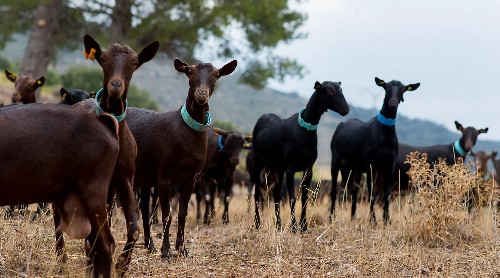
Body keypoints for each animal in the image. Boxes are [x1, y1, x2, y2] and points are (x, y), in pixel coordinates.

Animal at [66, 33, 158, 274]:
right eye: (103, 59)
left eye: (135, 63)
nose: (116, 85)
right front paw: (95, 262)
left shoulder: (125, 179)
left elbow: (133, 228)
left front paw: (121, 265)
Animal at [126, 58, 237, 258]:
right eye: (189, 72)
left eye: (217, 74)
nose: (201, 94)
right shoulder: (164, 177)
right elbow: (167, 215)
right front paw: (165, 251)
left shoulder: (190, 179)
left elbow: (182, 214)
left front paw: (182, 248)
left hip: (143, 176)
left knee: (144, 207)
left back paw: (149, 244)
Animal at [252, 81, 350, 232]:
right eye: (329, 91)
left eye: (341, 89)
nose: (346, 108)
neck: (304, 130)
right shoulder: (290, 169)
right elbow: (293, 198)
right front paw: (294, 227)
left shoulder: (308, 168)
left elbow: (304, 197)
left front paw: (304, 226)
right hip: (259, 162)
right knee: (257, 194)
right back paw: (257, 224)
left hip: (277, 168)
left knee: (276, 194)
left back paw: (278, 225)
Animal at [330, 76, 420, 224]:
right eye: (386, 87)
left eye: (403, 89)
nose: (393, 103)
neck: (384, 134)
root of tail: (341, 125)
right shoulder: (371, 166)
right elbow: (372, 194)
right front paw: (373, 221)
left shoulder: (389, 166)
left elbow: (386, 195)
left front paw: (387, 220)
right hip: (336, 162)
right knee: (335, 190)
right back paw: (331, 218)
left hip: (355, 168)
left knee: (354, 190)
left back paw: (353, 218)